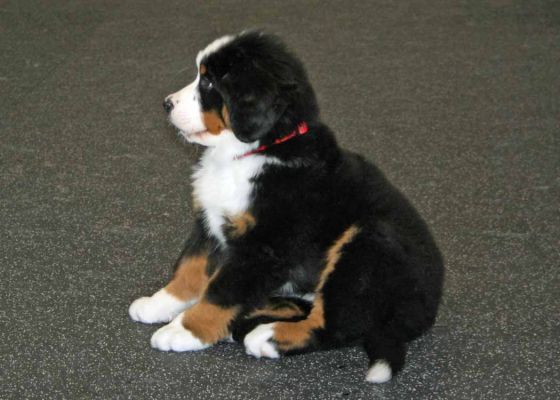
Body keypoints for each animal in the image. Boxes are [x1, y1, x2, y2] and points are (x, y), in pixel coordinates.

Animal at [129, 30, 444, 382]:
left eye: (209, 82)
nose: (167, 103)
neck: (250, 153)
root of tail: (425, 310)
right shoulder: (210, 225)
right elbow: (189, 269)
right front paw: (159, 303)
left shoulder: (263, 247)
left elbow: (221, 291)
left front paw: (185, 330)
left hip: (367, 245)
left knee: (337, 324)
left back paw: (267, 336)